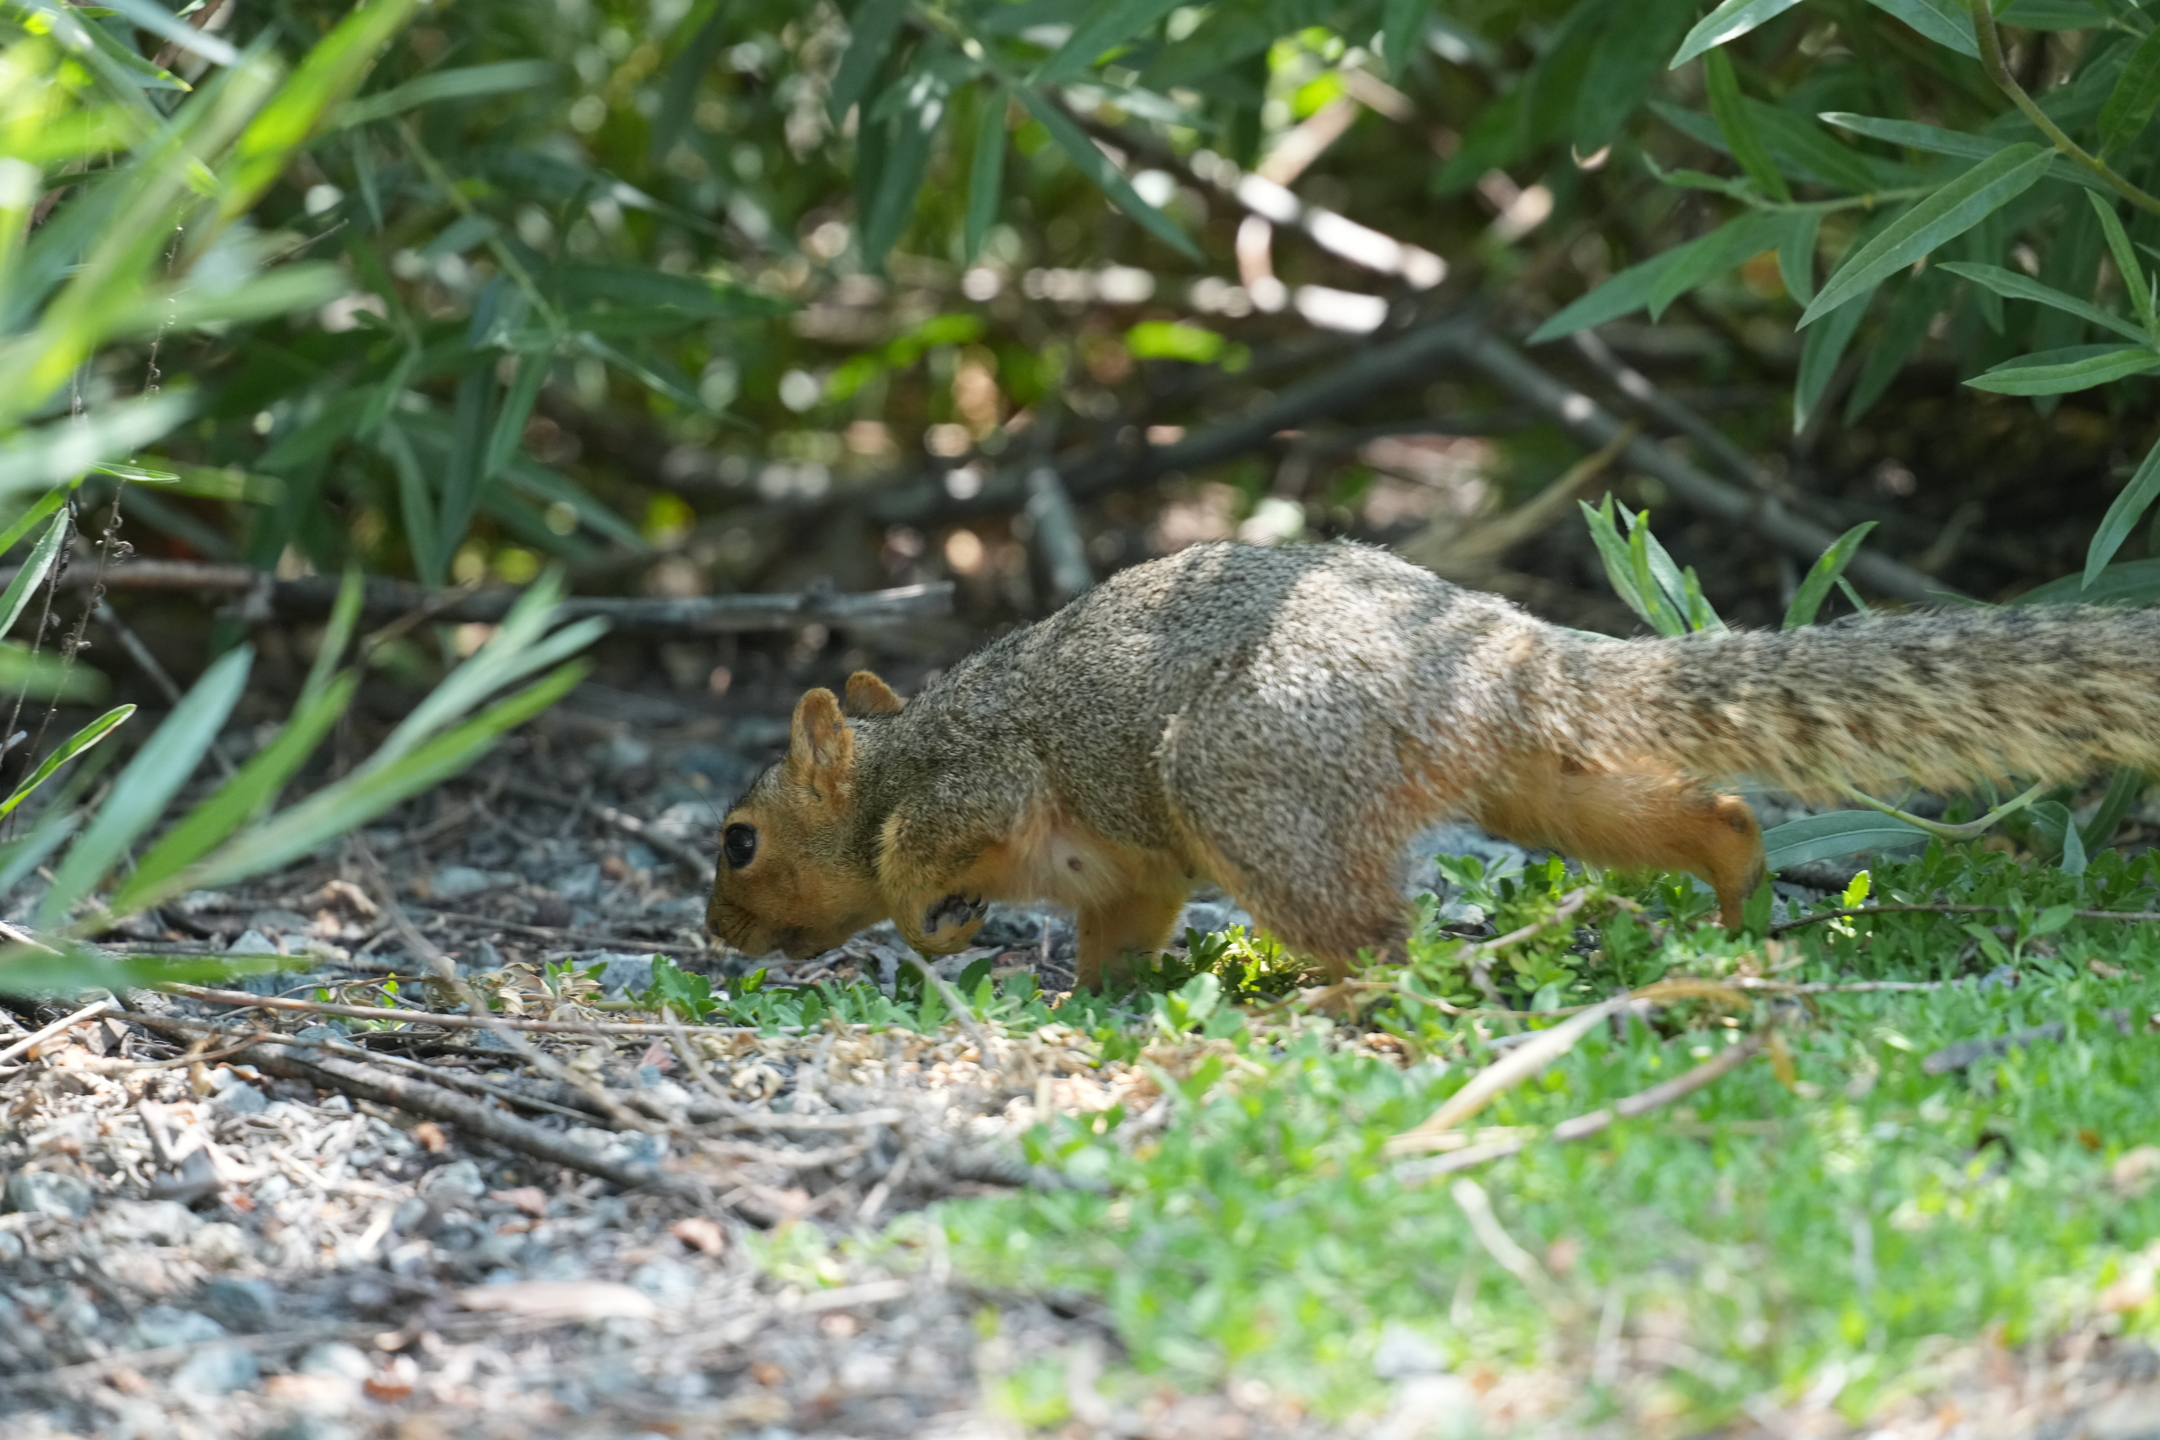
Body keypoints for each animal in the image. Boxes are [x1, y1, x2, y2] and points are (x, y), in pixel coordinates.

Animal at [705, 541, 2160, 988]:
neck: (888, 766)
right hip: (1538, 781)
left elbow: (929, 856)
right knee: (1704, 812)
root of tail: (1480, 649)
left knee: (1381, 937)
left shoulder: (979, 781)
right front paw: (1093, 1002)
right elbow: (1124, 931)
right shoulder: (1128, 876)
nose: (712, 932)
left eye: (738, 840)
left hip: (1247, 778)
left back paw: (1322, 1000)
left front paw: (930, 927)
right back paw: (1741, 905)